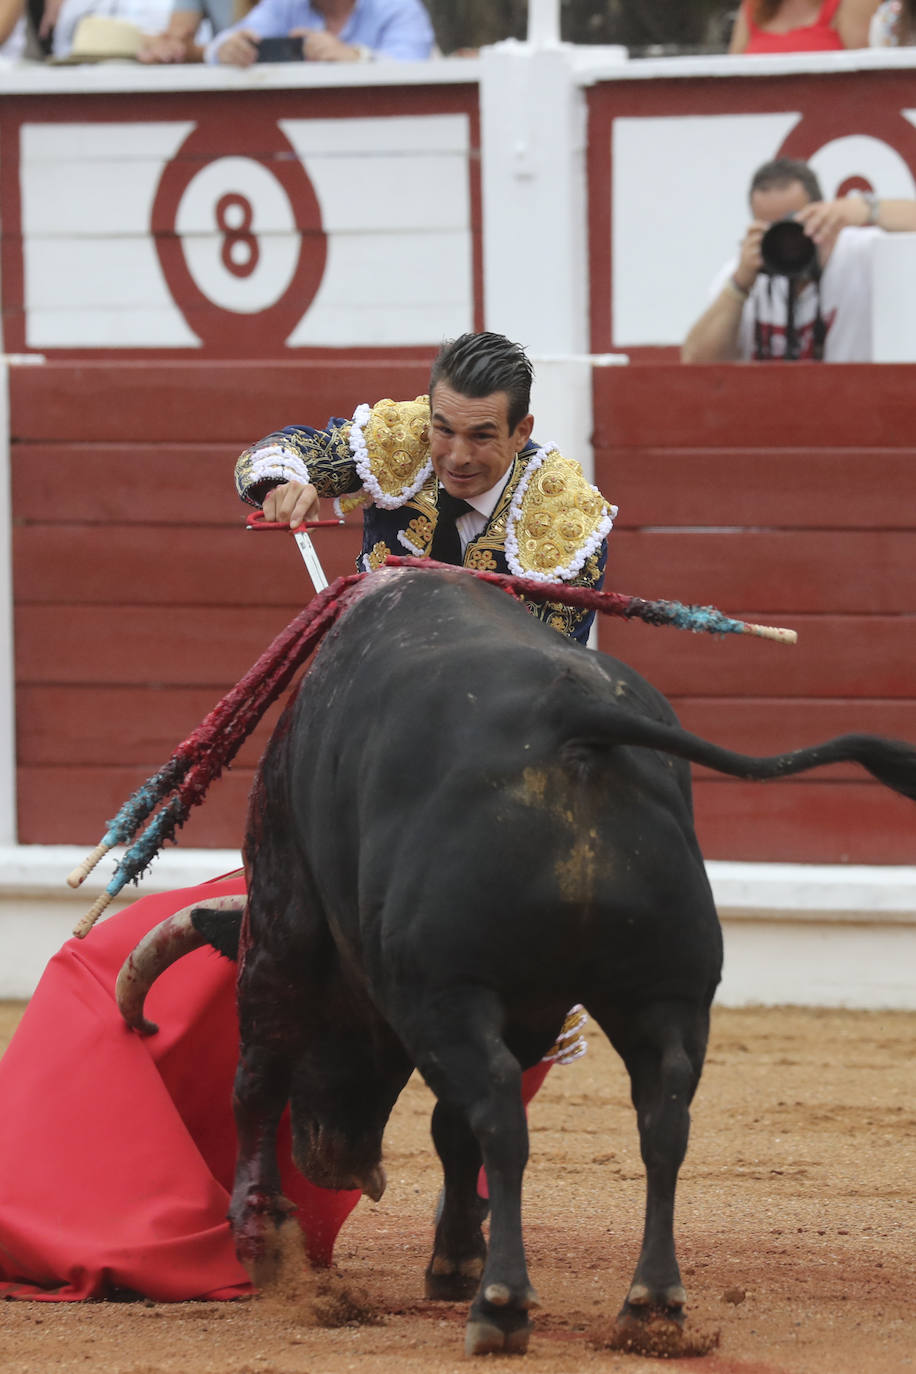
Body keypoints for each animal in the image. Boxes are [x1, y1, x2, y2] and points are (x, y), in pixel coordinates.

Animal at [118, 566, 916, 1352]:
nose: (335, 1165)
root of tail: (576, 721)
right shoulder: (530, 1007)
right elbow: (451, 1127)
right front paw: (452, 1258)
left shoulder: (287, 921)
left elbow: (260, 1081)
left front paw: (266, 1245)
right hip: (668, 994)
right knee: (662, 1117)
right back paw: (651, 1304)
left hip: (441, 991)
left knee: (501, 1112)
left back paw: (502, 1306)